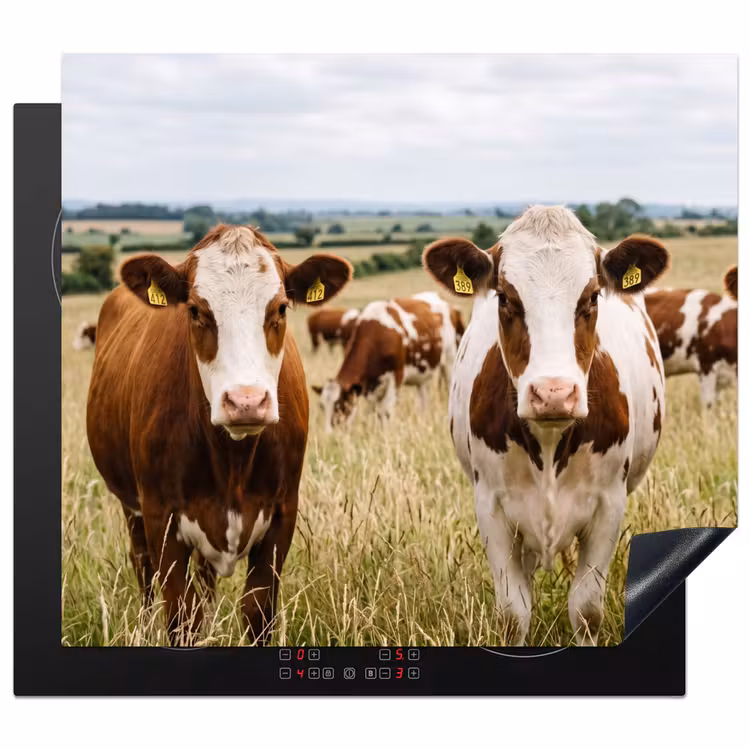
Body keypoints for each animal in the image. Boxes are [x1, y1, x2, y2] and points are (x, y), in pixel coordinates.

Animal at [86, 224, 351, 645]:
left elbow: (257, 611)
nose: (246, 401)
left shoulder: (282, 514)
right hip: (132, 507)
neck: (233, 462)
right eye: (195, 310)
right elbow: (181, 615)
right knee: (143, 568)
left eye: (280, 308)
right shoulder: (160, 516)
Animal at [314, 291, 459, 431]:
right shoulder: (369, 387)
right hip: (423, 373)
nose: (330, 435)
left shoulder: (396, 376)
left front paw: (386, 434)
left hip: (450, 360)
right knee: (424, 400)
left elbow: (386, 412)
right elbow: (374, 412)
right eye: (321, 406)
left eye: (340, 405)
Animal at [423, 205, 669, 646]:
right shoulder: (491, 506)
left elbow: (586, 609)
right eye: (505, 297)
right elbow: (512, 613)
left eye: (592, 297)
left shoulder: (609, 503)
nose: (554, 393)